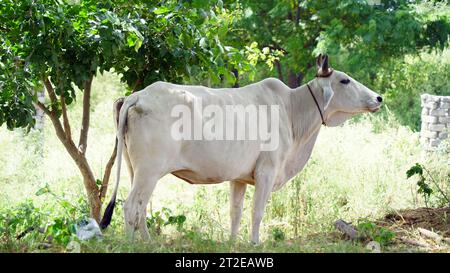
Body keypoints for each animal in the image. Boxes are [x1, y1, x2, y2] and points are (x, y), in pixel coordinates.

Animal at [100, 54, 382, 242]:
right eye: (344, 80)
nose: (378, 98)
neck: (291, 109)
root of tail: (137, 95)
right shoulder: (267, 171)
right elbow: (257, 212)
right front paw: (255, 242)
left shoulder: (239, 178)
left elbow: (235, 212)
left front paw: (233, 242)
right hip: (149, 170)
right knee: (131, 207)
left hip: (136, 169)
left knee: (141, 208)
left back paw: (147, 242)